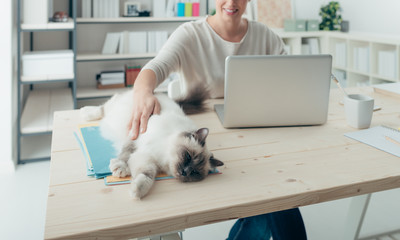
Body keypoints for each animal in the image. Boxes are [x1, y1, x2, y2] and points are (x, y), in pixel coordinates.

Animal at [79, 88, 223, 199]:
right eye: (188, 156)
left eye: (194, 172)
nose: (185, 172)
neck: (163, 157)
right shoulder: (135, 138)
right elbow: (125, 154)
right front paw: (120, 168)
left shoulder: (146, 159)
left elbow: (146, 176)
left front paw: (137, 191)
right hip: (118, 108)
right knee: (102, 108)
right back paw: (85, 112)